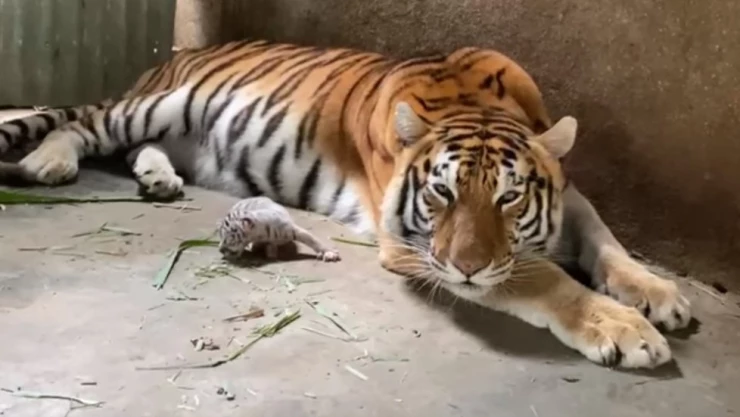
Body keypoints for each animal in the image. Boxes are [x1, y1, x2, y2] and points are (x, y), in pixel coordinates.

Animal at [0, 39, 691, 368]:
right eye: (441, 192)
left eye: (511, 197)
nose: (466, 267)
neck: (475, 104)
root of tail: (174, 58)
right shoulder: (412, 245)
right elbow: (542, 277)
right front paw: (627, 330)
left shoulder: (567, 195)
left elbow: (606, 243)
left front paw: (658, 295)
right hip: (156, 105)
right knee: (81, 124)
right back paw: (48, 162)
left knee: (132, 147)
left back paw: (159, 179)